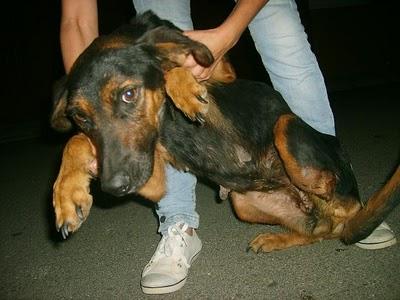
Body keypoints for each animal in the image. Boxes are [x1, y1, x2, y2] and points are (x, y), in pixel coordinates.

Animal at [50, 10, 400, 252]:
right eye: (80, 117)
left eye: (128, 94)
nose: (114, 187)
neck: (163, 122)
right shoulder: (152, 169)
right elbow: (74, 142)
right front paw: (68, 194)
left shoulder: (219, 69)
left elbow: (174, 67)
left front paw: (184, 88)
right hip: (244, 205)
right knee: (320, 231)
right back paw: (277, 238)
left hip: (289, 130)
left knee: (337, 195)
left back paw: (339, 194)